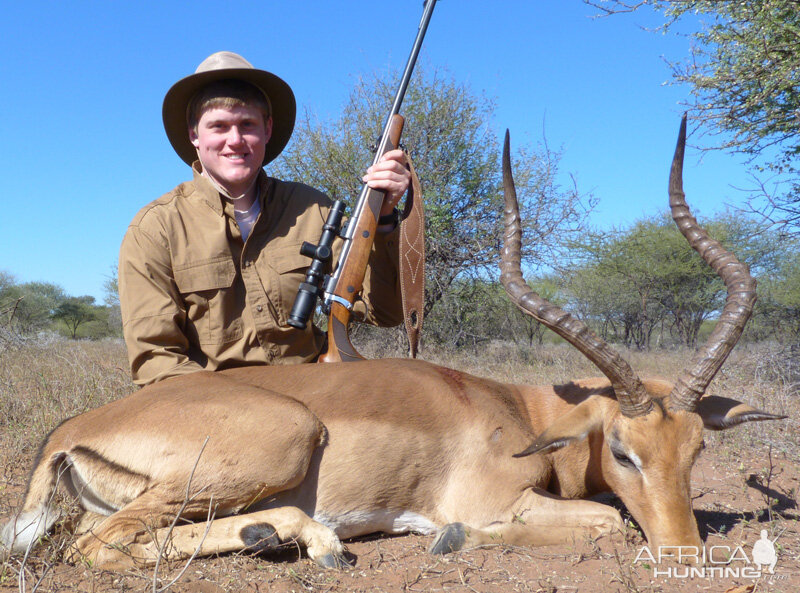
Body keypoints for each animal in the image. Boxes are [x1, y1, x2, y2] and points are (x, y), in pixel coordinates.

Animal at [0, 117, 784, 568]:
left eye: (697, 449)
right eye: (622, 450)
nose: (684, 552)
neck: (520, 413)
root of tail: (68, 433)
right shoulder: (495, 501)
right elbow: (607, 523)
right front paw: (445, 537)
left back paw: (276, 538)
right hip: (280, 440)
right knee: (97, 546)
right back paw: (314, 542)